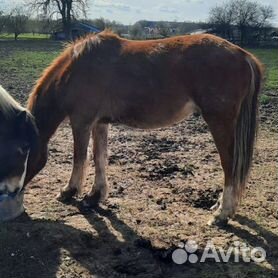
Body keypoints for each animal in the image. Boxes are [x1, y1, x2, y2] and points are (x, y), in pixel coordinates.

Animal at [23, 31, 262, 225]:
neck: (77, 70)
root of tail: (243, 55)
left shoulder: (81, 121)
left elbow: (79, 157)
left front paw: (69, 191)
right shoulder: (99, 123)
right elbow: (99, 157)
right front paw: (95, 195)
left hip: (219, 120)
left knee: (229, 164)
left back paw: (222, 214)